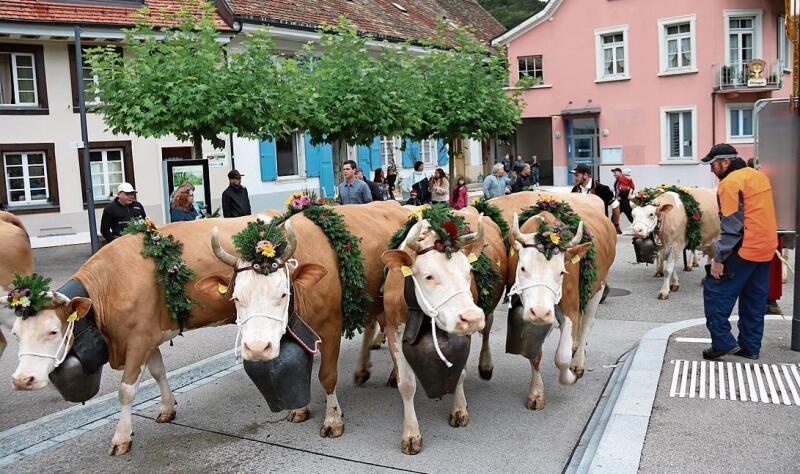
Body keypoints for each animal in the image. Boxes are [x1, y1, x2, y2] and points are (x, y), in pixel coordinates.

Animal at [6, 213, 284, 454]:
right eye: (16, 334)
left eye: (53, 331)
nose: (22, 380)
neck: (109, 285)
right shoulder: (149, 338)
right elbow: (158, 372)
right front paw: (167, 408)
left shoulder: (138, 342)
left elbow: (126, 391)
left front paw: (121, 438)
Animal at [203, 200, 410, 436]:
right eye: (236, 297)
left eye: (283, 294)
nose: (257, 349)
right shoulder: (299, 330)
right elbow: (300, 374)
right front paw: (299, 409)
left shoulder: (331, 328)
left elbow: (327, 375)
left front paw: (332, 419)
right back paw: (364, 371)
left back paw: (392, 374)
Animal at [382, 209, 506, 454]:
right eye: (429, 276)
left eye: (469, 271)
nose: (472, 317)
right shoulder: (393, 330)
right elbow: (406, 384)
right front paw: (411, 434)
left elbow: (460, 374)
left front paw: (459, 410)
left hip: (488, 310)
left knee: (487, 330)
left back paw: (486, 365)